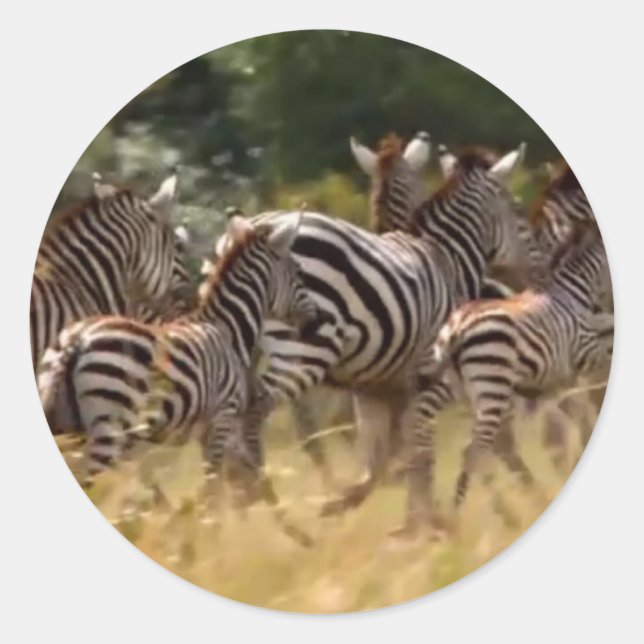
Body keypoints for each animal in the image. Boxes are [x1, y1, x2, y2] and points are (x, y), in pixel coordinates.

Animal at [38, 214, 327, 487]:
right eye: (298, 271)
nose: (317, 322)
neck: (227, 328)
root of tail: (77, 339)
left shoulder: (207, 428)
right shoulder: (222, 417)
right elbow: (214, 486)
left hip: (68, 422)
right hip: (109, 426)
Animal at [219, 145, 529, 524]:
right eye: (516, 208)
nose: (521, 279)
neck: (447, 259)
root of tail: (249, 228)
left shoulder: (375, 390)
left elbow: (385, 454)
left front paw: (360, 503)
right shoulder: (431, 381)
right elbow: (418, 449)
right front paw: (425, 520)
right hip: (305, 351)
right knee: (258, 414)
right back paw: (265, 497)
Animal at [420, 219, 611, 519]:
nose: (605, 303)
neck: (570, 294)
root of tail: (457, 329)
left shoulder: (549, 380)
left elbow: (564, 412)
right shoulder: (582, 351)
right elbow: (601, 356)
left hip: (466, 391)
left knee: (480, 449)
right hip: (491, 388)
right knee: (475, 450)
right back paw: (463, 517)